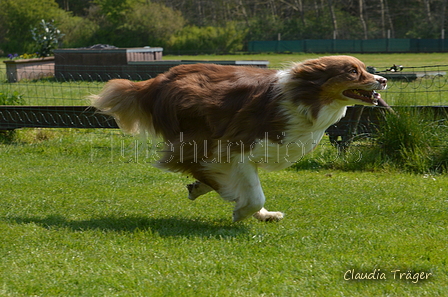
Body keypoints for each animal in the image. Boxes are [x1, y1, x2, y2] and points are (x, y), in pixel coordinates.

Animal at [89, 56, 386, 222]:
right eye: (352, 71)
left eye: (363, 68)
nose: (383, 80)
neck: (303, 100)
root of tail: (158, 80)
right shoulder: (237, 148)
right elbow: (254, 194)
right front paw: (241, 213)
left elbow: (246, 188)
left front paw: (256, 212)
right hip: (199, 134)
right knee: (192, 163)